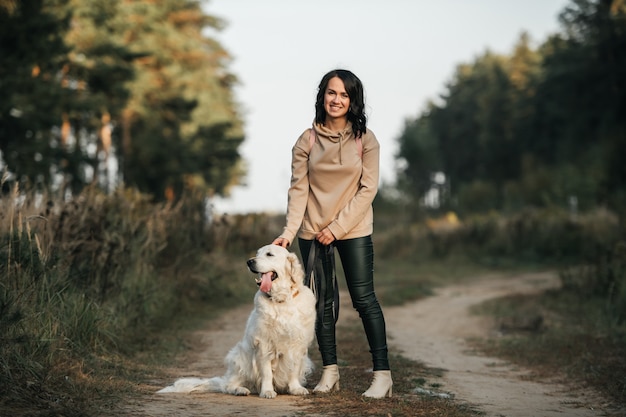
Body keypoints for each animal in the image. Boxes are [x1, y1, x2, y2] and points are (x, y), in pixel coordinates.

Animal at [157, 245, 316, 398]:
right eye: (257, 254)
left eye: (269, 254)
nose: (249, 261)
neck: (281, 300)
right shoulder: (264, 343)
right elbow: (266, 372)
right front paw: (267, 391)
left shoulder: (298, 344)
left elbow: (293, 368)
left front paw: (296, 388)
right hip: (240, 357)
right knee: (228, 385)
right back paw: (240, 389)